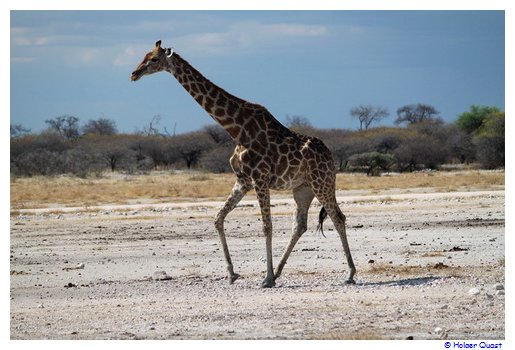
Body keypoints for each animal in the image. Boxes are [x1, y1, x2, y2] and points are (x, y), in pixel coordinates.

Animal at [130, 40, 354, 288]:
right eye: (144, 56)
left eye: (154, 59)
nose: (134, 74)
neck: (236, 129)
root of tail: (331, 156)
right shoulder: (243, 180)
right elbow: (218, 218)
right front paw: (232, 273)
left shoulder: (260, 179)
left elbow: (266, 227)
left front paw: (266, 278)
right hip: (302, 188)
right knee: (300, 225)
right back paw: (279, 271)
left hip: (322, 182)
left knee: (338, 218)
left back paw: (349, 274)